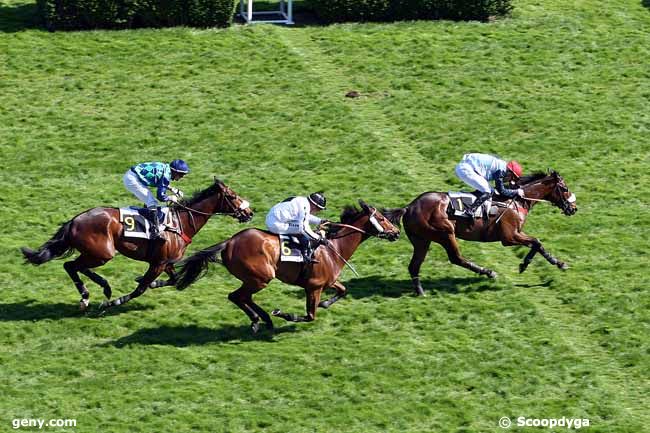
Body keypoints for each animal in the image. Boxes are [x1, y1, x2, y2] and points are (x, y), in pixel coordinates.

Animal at [20, 178, 253, 310]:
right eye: (233, 196)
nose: (249, 213)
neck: (181, 222)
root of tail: (75, 220)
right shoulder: (158, 263)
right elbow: (141, 289)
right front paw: (115, 302)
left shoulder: (165, 262)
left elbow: (173, 280)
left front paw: (151, 283)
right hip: (102, 253)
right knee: (72, 266)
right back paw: (93, 294)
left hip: (96, 253)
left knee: (73, 266)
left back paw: (95, 292)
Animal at [175, 199, 398, 330]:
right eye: (381, 218)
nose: (396, 232)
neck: (334, 247)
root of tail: (229, 242)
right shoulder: (314, 287)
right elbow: (310, 316)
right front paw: (285, 314)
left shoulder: (328, 282)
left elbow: (343, 290)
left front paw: (325, 303)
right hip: (261, 277)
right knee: (236, 296)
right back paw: (259, 319)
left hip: (254, 279)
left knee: (242, 297)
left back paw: (263, 318)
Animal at [382, 170, 576, 296]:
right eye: (565, 188)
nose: (574, 208)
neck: (517, 201)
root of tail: (409, 207)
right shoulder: (509, 237)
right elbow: (536, 241)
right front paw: (526, 264)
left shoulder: (515, 234)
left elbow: (538, 244)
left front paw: (557, 263)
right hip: (445, 233)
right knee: (456, 258)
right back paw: (488, 272)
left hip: (422, 240)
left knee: (414, 266)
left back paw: (420, 292)